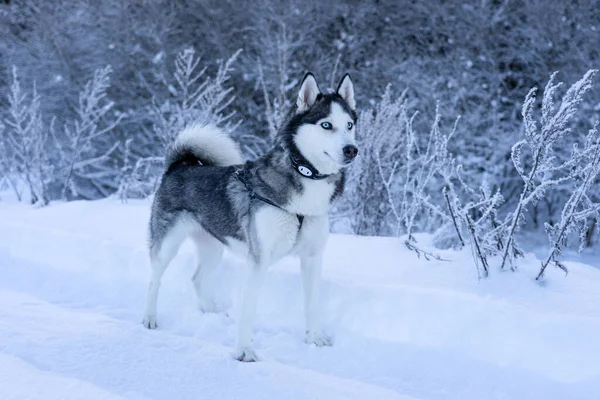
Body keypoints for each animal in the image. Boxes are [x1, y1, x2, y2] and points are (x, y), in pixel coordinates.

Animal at [143, 72, 358, 362]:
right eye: (326, 125)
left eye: (349, 125)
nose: (351, 150)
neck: (303, 176)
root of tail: (180, 165)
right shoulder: (258, 260)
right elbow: (248, 311)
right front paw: (244, 351)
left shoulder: (312, 257)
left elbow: (312, 304)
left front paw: (315, 339)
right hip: (167, 245)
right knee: (154, 280)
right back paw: (149, 318)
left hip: (213, 248)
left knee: (197, 278)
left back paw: (212, 312)